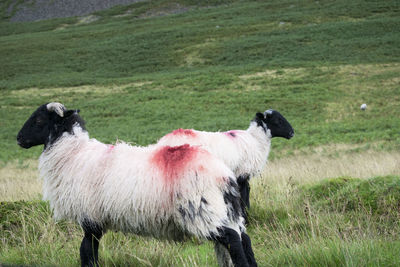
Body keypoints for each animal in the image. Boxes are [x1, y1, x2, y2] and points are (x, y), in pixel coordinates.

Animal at [157, 110, 294, 223]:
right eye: (277, 121)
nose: (292, 132)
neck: (256, 141)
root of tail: (162, 142)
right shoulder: (241, 173)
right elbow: (243, 195)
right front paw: (245, 219)